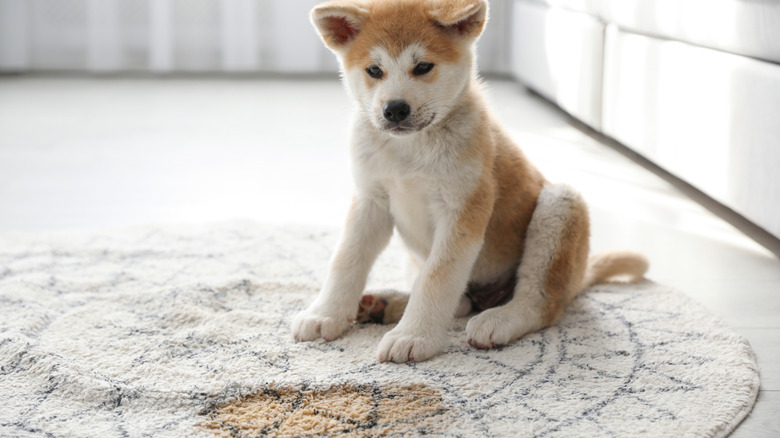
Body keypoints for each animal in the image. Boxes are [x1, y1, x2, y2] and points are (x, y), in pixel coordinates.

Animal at [292, 0, 644, 362]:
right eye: (374, 70)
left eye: (423, 67)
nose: (395, 109)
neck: (410, 150)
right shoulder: (370, 200)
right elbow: (346, 260)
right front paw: (326, 314)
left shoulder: (463, 208)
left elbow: (437, 278)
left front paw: (414, 335)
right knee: (460, 302)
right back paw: (384, 303)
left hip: (560, 204)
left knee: (540, 302)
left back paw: (499, 319)